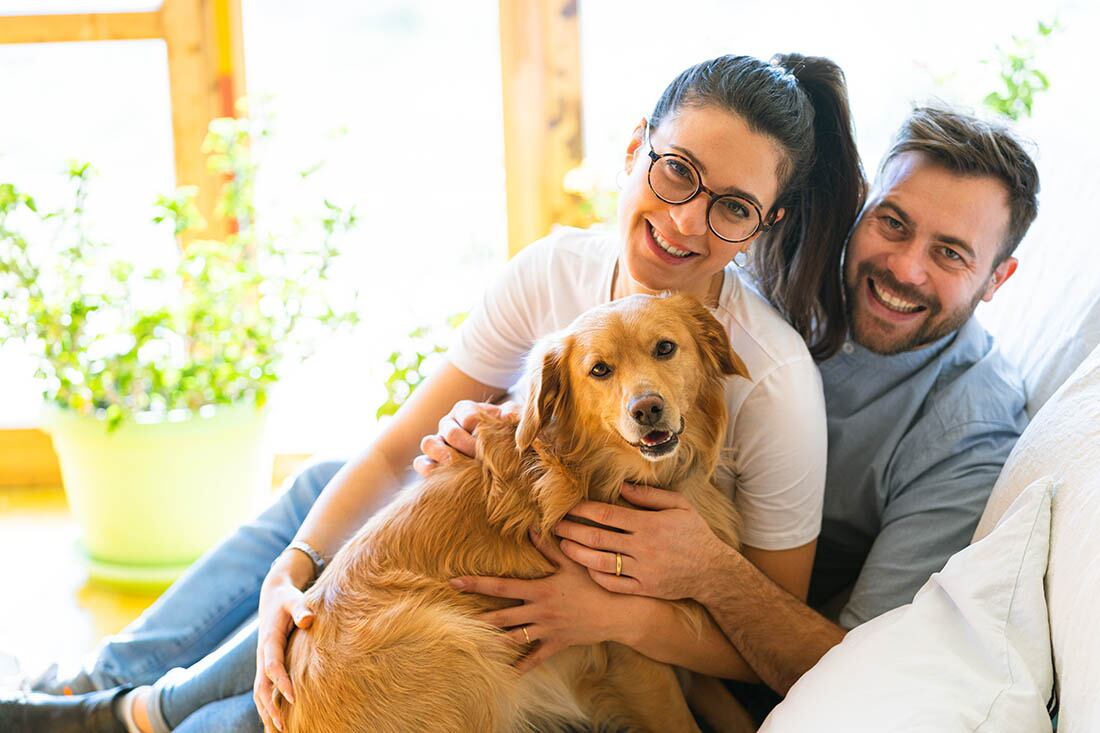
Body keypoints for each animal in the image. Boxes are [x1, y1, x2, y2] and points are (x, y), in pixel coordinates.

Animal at [279, 292, 752, 730]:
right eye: (600, 370)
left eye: (665, 348)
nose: (647, 408)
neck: (601, 474)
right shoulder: (638, 662)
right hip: (467, 652)